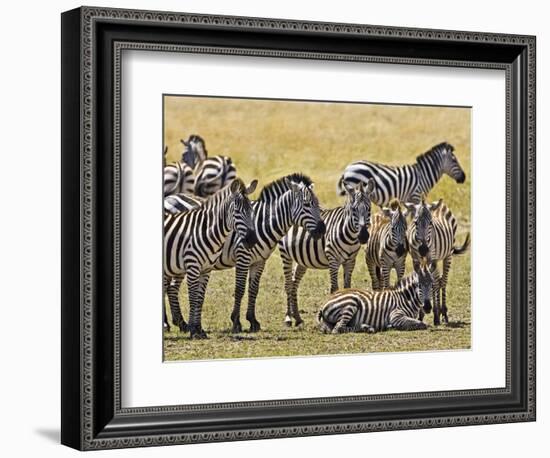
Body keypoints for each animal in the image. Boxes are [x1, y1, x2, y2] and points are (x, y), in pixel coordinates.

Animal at [164, 179, 258, 340]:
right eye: (237, 212)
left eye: (252, 211)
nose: (252, 240)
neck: (205, 232)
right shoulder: (193, 266)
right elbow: (193, 297)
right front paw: (193, 330)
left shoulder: (206, 269)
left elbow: (200, 299)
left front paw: (199, 329)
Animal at [338, 141, 468, 206]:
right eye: (455, 161)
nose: (464, 178)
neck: (423, 175)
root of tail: (348, 168)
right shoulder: (416, 197)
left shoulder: (408, 200)